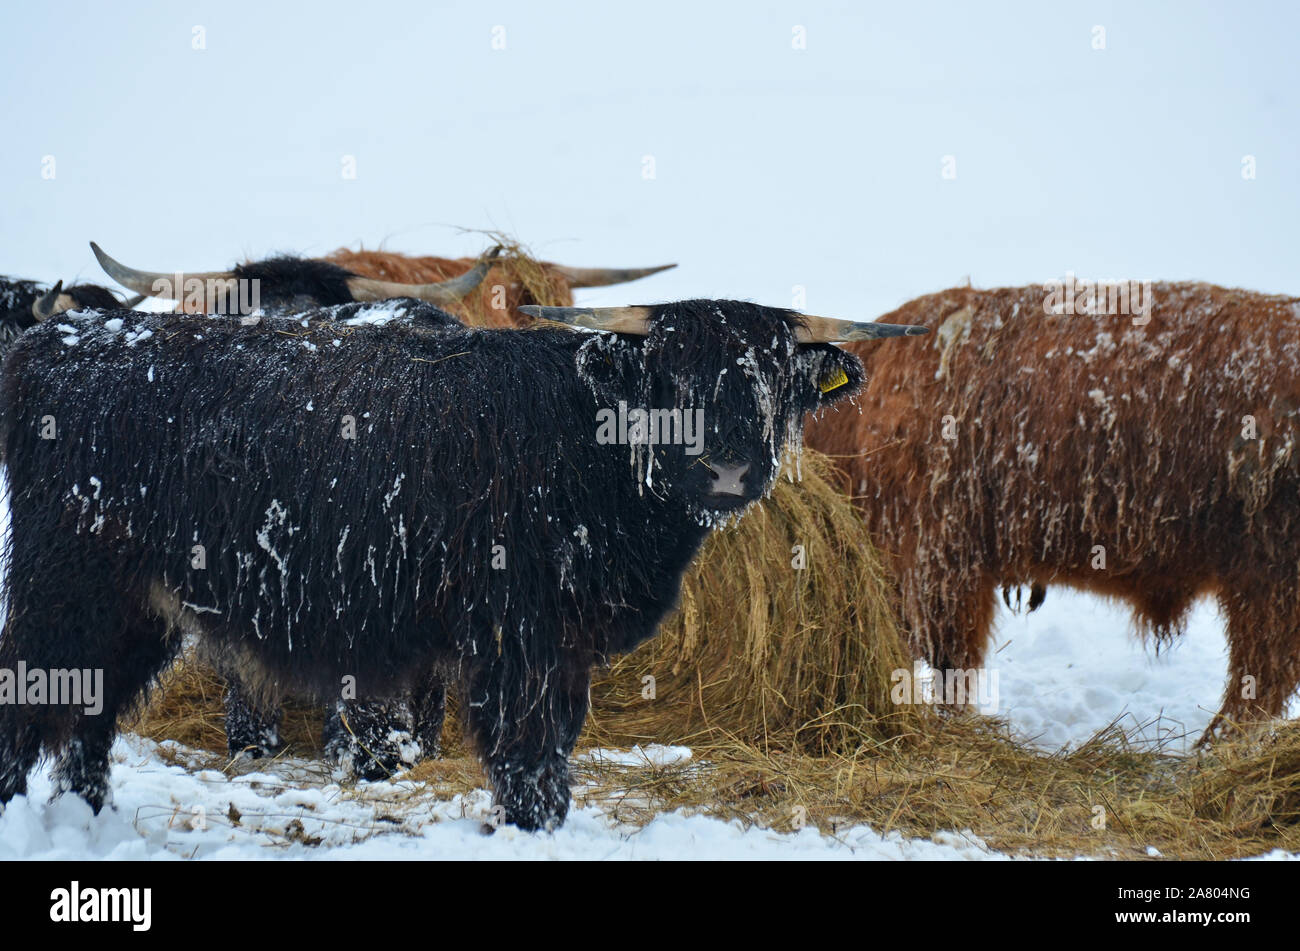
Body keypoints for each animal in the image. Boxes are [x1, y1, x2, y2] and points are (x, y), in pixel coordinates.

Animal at [0, 296, 926, 828]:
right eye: (671, 373)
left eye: (770, 375)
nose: (729, 465)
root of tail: (56, 342)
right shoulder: (520, 636)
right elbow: (527, 755)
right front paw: (530, 828)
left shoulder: (564, 647)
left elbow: (554, 748)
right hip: (64, 587)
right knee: (30, 703)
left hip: (138, 606)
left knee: (90, 719)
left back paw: (88, 819)